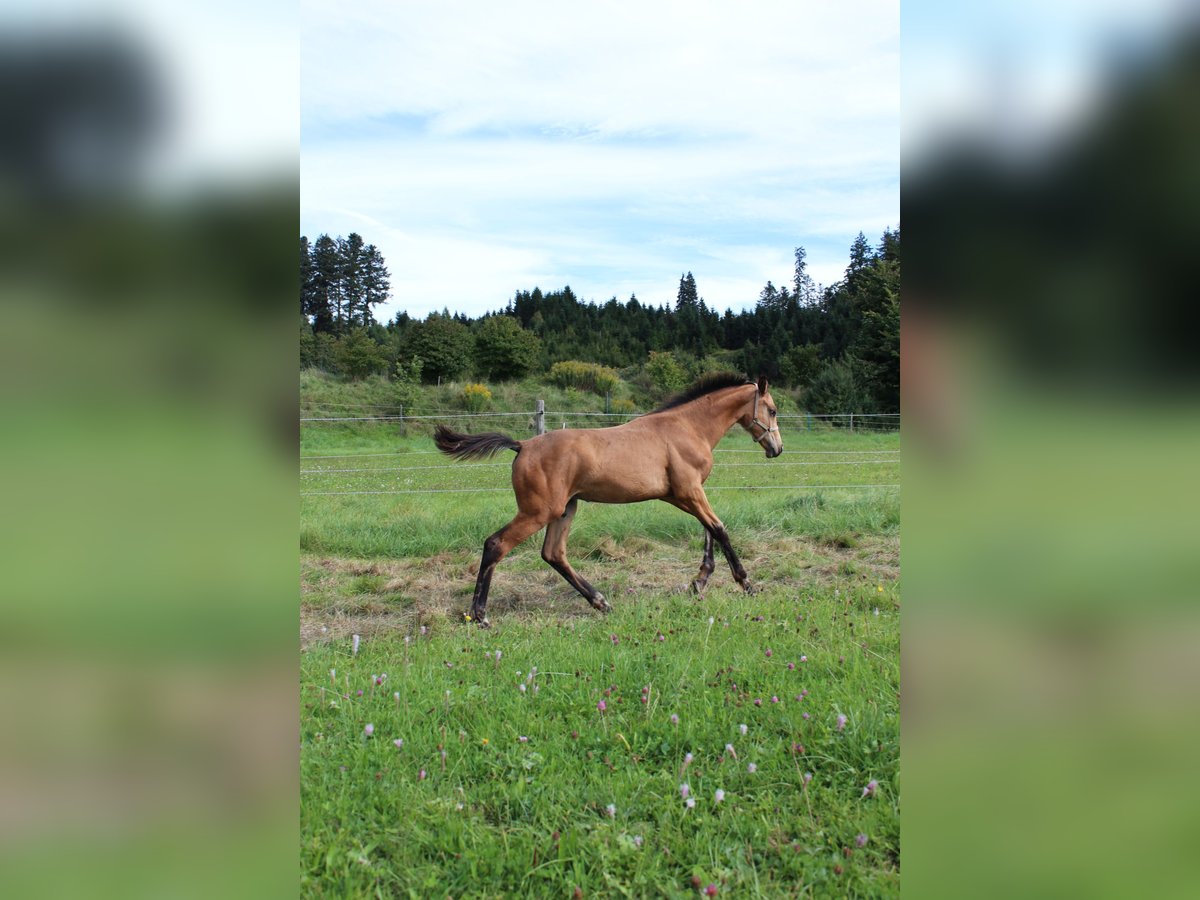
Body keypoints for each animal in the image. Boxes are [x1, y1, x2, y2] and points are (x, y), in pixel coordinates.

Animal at [433, 373, 783, 626]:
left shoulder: (689, 493)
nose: (777, 449)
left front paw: (699, 583)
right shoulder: (689, 492)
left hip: (565, 509)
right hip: (539, 511)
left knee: (553, 553)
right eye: (773, 410)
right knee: (496, 544)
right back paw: (480, 615)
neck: (687, 428)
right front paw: (746, 584)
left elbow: (709, 531)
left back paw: (601, 602)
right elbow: (720, 529)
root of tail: (523, 445)